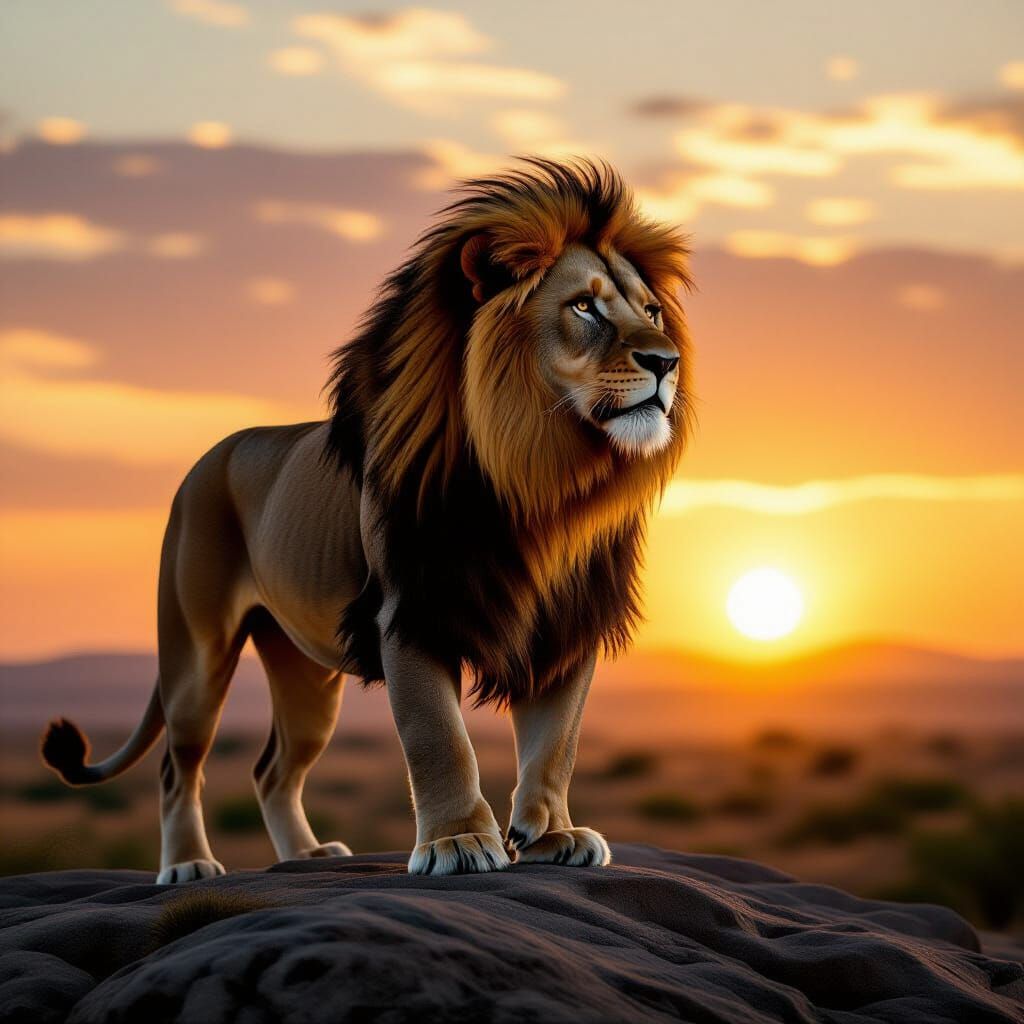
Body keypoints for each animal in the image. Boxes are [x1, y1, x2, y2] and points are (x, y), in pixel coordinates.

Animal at [41, 158, 693, 882]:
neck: (543, 484)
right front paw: (458, 843)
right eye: (584, 305)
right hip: (196, 654)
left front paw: (553, 835)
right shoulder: (410, 612)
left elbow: (556, 745)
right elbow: (439, 738)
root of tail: (211, 456)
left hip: (303, 672)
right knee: (177, 767)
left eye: (652, 311)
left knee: (273, 769)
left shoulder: (569, 624)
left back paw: (306, 856)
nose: (666, 361)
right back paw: (187, 865)